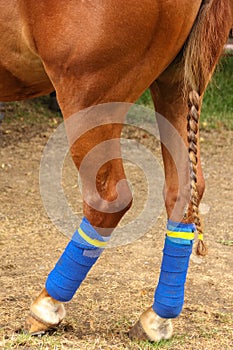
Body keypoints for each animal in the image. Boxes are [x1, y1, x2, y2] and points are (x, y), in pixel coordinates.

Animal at [0, 0, 232, 344]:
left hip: (89, 97)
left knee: (109, 200)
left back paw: (47, 306)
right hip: (177, 84)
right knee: (184, 190)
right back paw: (157, 317)